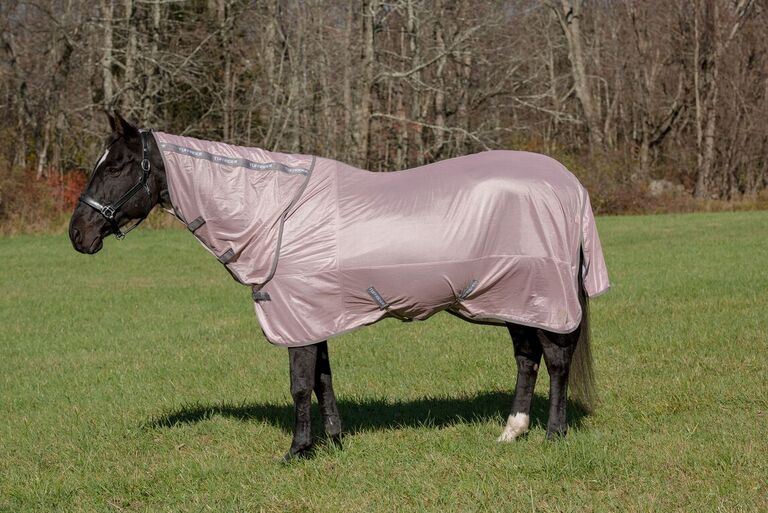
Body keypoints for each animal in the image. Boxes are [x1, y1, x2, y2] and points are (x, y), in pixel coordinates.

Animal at [69, 112, 609, 461]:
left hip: (540, 297)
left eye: (115, 165)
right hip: (513, 299)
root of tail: (570, 185)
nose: (78, 234)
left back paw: (553, 435)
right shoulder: (313, 312)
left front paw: (296, 451)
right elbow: (323, 378)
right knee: (527, 358)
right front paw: (332, 441)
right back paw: (511, 432)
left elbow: (299, 384)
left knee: (556, 360)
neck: (276, 212)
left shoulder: (295, 314)